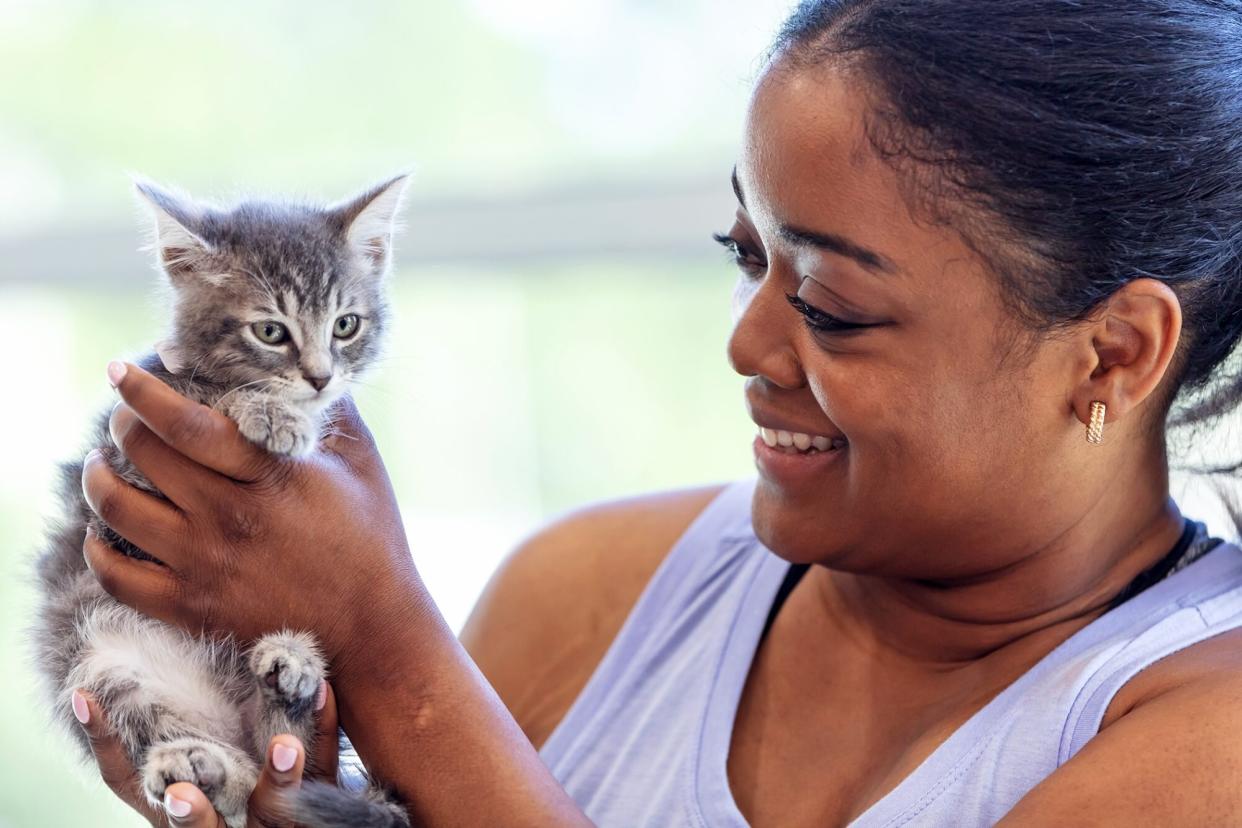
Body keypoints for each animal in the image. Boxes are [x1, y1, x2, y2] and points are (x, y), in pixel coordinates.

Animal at [30, 171, 412, 824]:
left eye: (346, 325)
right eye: (270, 331)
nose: (320, 378)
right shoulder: (116, 490)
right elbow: (213, 395)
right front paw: (262, 407)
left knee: (283, 757)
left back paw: (288, 678)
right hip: (98, 661)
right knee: (242, 778)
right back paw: (200, 764)